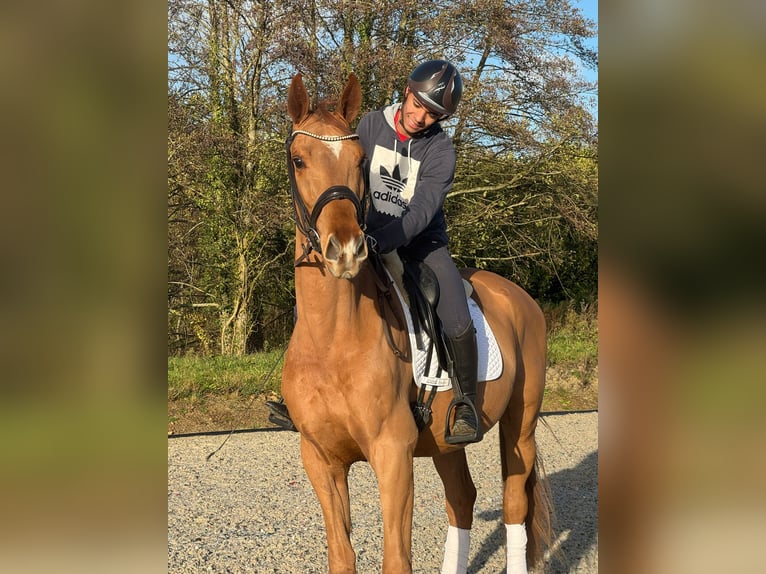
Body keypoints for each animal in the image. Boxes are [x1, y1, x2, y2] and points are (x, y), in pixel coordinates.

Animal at [281, 72, 554, 574]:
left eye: (359, 161)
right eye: (299, 160)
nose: (346, 249)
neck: (333, 340)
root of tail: (519, 296)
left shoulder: (392, 453)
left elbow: (395, 558)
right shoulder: (321, 460)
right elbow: (341, 555)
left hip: (519, 426)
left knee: (513, 504)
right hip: (447, 443)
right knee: (462, 499)